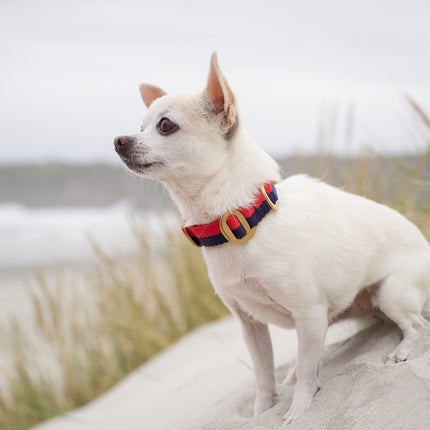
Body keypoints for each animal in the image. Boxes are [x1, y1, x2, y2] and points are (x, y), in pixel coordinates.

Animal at [114, 53, 430, 424]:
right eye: (140, 127)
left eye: (165, 126)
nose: (118, 140)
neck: (243, 219)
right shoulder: (250, 325)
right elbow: (264, 375)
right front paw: (261, 412)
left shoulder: (308, 314)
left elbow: (307, 374)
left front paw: (299, 411)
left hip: (391, 293)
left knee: (417, 325)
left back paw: (401, 350)